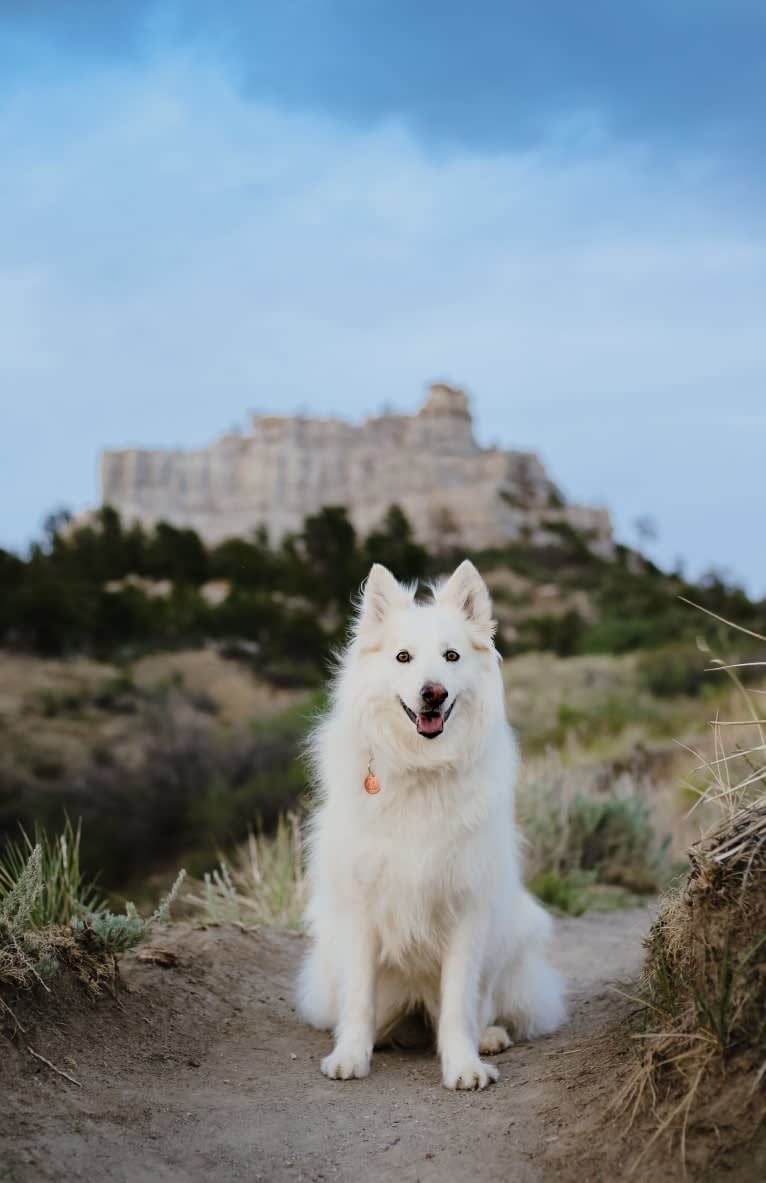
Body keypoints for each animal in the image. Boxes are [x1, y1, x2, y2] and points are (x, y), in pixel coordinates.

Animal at [296, 558, 565, 1083]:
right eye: (403, 657)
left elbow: (460, 1001)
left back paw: (487, 1037)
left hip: (517, 927)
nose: (432, 694)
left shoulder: (468, 907)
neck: (421, 769)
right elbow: (358, 999)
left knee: (482, 1005)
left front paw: (463, 1065)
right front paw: (351, 1056)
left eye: (451, 656)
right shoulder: (360, 908)